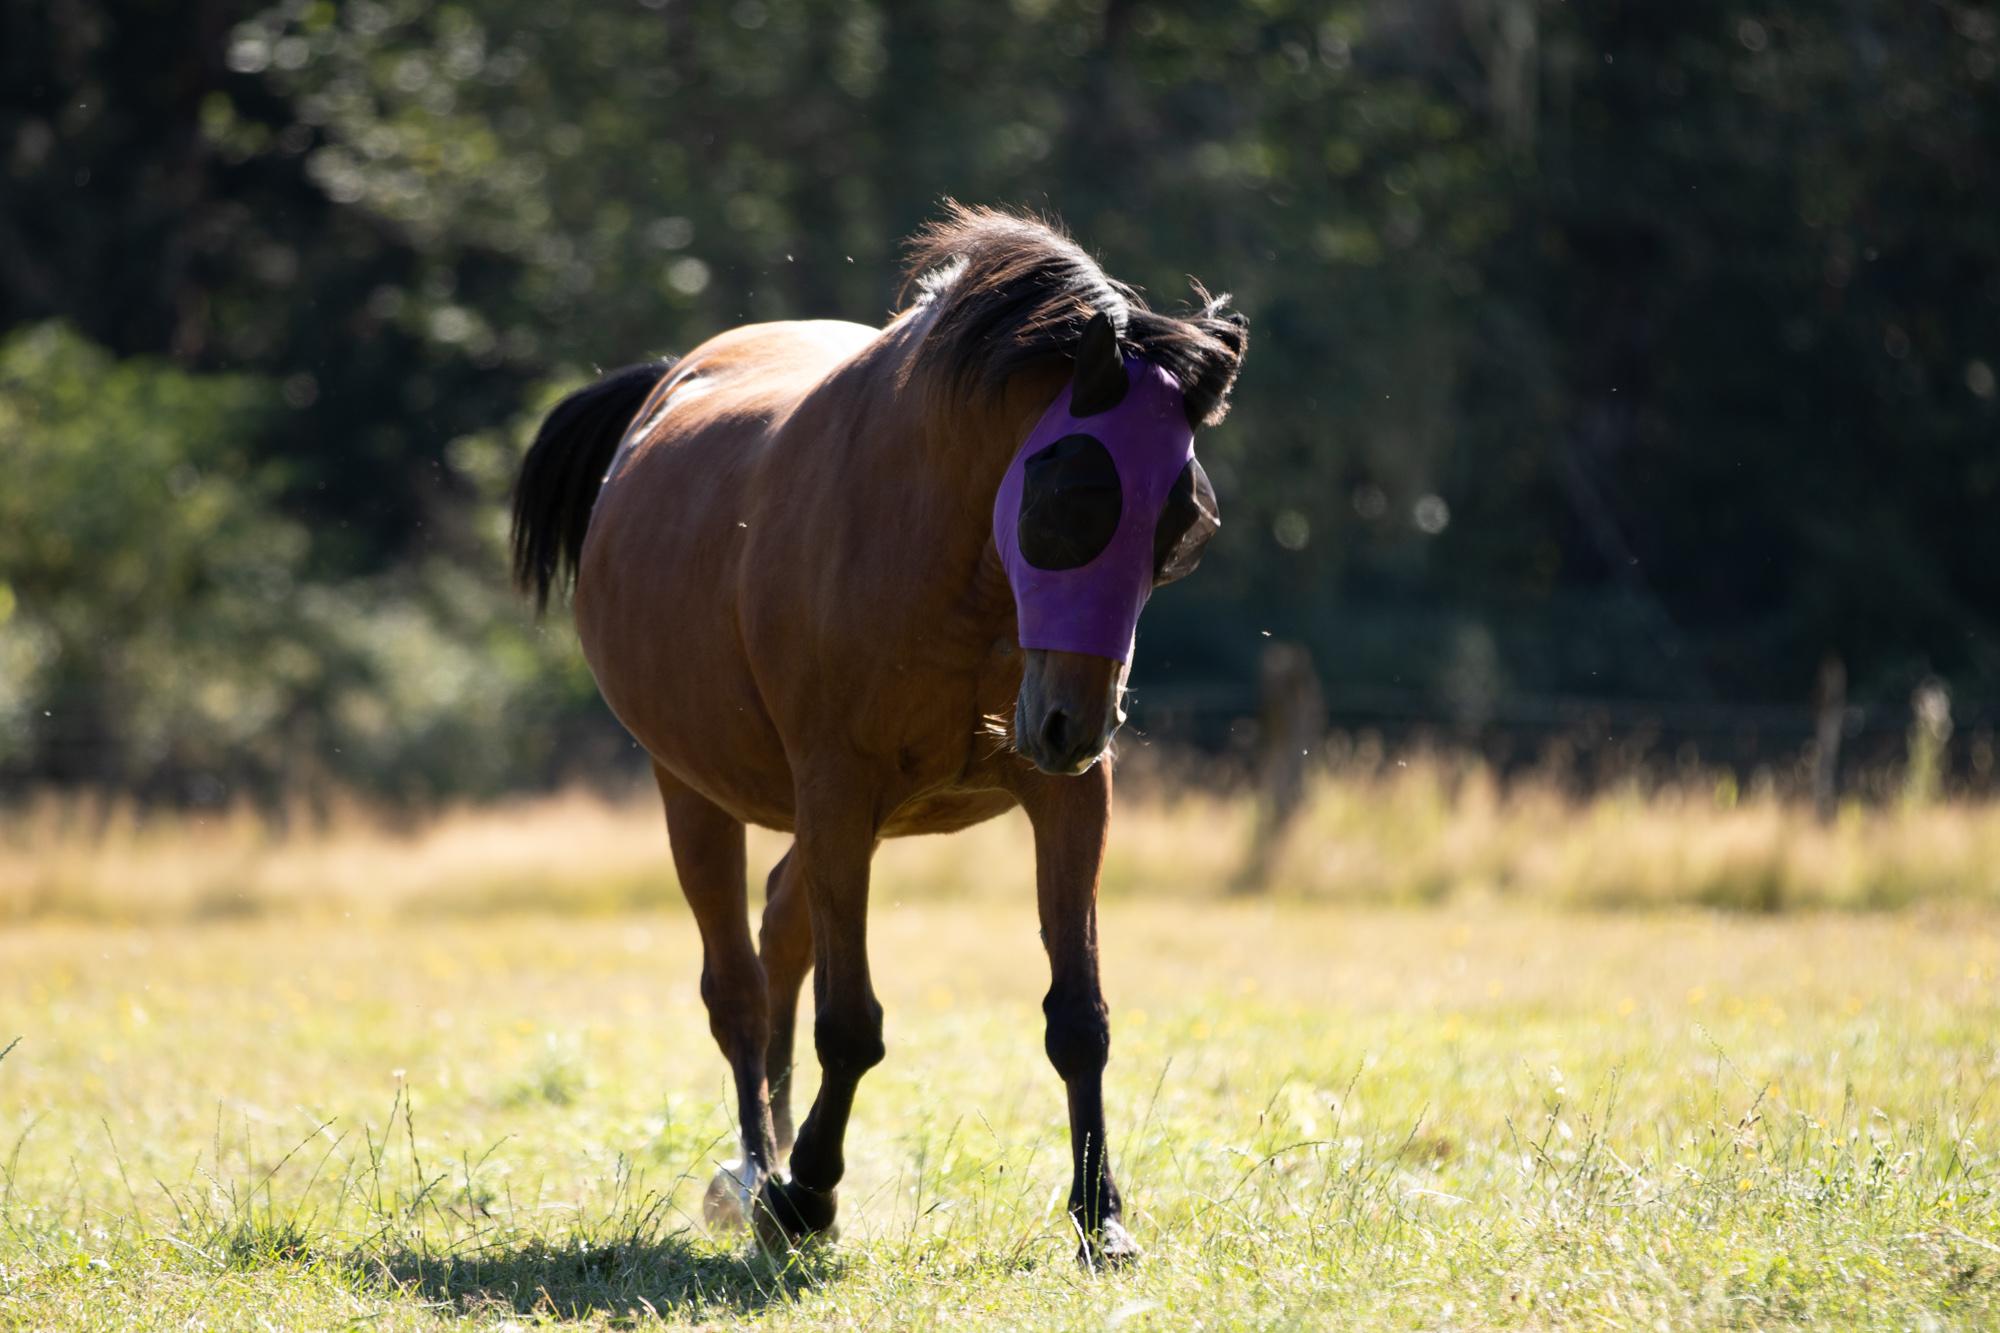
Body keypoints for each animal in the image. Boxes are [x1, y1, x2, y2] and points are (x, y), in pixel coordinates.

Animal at [508, 202, 1240, 1264]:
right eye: (1071, 495)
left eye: (1183, 524)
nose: (1075, 723)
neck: (953, 561)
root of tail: (669, 381)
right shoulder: (838, 788)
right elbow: (850, 1024)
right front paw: (806, 1192)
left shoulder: (1065, 797)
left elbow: (1080, 1018)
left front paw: (1101, 1216)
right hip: (695, 793)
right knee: (737, 987)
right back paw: (757, 1173)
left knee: (780, 931)